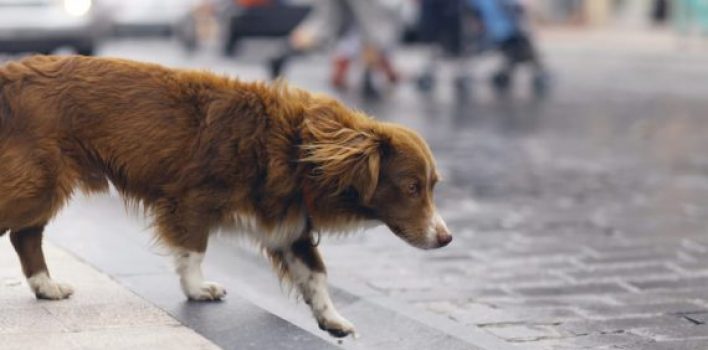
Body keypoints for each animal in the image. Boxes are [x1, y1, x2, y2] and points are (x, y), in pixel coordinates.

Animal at [0, 54, 450, 336]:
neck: (295, 147)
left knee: (25, 235)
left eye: (432, 186)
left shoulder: (288, 226)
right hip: (38, 182)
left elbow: (317, 275)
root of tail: (11, 75)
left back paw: (46, 287)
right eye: (412, 187)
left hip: (42, 187)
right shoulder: (189, 200)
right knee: (21, 230)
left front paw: (332, 319)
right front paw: (198, 290)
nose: (447, 239)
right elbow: (193, 251)